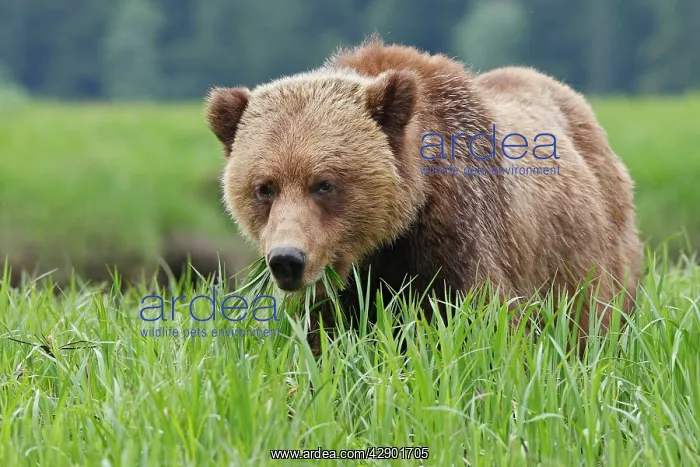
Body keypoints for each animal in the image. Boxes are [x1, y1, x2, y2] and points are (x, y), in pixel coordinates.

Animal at [205, 37, 641, 355]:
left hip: (587, 257)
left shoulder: (462, 230)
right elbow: (321, 343)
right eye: (265, 187)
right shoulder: (338, 285)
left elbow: (484, 327)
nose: (287, 260)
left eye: (324, 183)